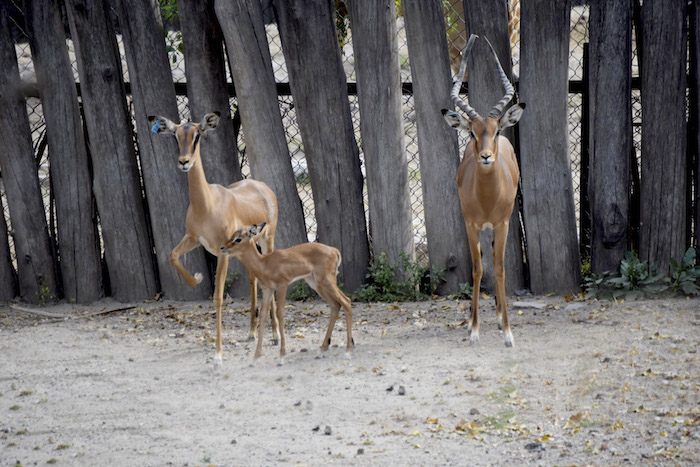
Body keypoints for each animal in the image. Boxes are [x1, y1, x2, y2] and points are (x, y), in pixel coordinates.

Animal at [148, 112, 280, 366]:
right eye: (176, 136)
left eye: (198, 135)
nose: (184, 162)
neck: (207, 205)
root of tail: (262, 186)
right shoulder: (193, 238)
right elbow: (172, 256)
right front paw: (198, 278)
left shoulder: (222, 251)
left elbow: (218, 297)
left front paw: (218, 353)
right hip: (249, 246)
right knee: (253, 278)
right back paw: (251, 332)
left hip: (267, 239)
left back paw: (277, 335)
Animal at [220, 223, 353, 361]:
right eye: (232, 235)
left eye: (238, 239)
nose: (222, 248)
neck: (264, 264)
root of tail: (334, 250)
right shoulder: (267, 290)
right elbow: (263, 315)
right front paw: (257, 354)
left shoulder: (281, 285)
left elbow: (280, 313)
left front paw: (282, 352)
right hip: (317, 284)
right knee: (335, 305)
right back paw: (323, 348)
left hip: (327, 281)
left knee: (346, 301)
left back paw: (348, 349)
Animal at [441, 35, 525, 347]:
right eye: (473, 133)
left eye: (496, 130)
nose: (486, 156)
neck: (487, 199)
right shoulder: (471, 224)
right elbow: (477, 269)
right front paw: (474, 329)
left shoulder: (502, 223)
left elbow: (499, 268)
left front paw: (508, 333)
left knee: (495, 262)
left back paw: (500, 316)